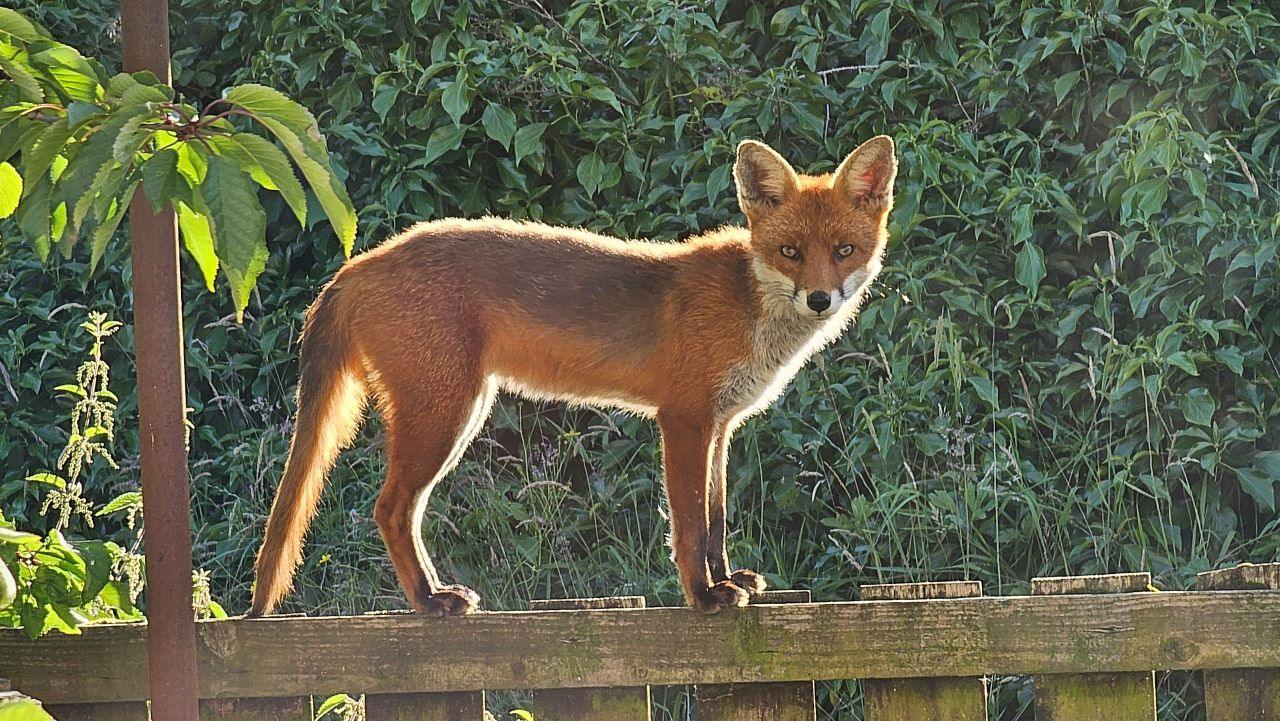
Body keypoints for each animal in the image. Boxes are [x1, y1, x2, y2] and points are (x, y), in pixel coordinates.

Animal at [244, 133, 896, 614]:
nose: (819, 299)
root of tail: (356, 264)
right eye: (791, 252)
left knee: (401, 512)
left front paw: (727, 579)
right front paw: (704, 597)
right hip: (445, 417)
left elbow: (715, 521)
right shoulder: (683, 419)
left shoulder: (720, 426)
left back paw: (433, 594)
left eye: (843, 251)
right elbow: (689, 526)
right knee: (389, 509)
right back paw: (429, 603)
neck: (749, 306)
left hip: (461, 413)